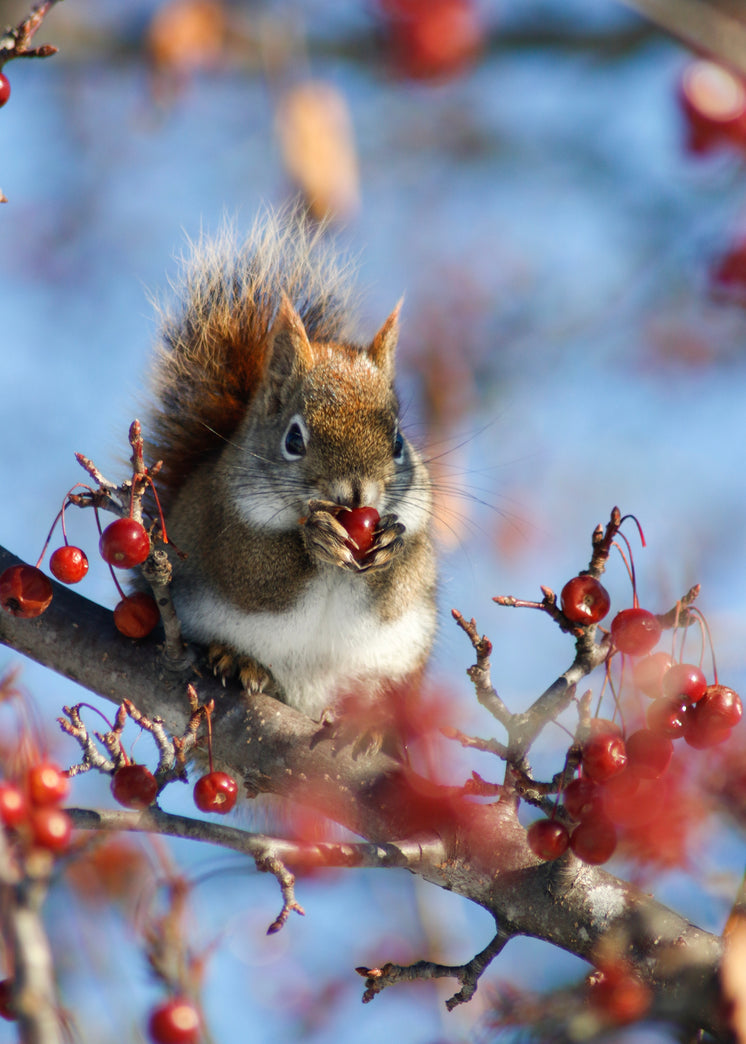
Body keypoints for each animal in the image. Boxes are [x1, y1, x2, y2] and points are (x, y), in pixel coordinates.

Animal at [144, 207, 437, 723]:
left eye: (398, 441)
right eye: (294, 439)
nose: (355, 493)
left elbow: (398, 583)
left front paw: (389, 544)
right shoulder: (223, 527)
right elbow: (259, 570)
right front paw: (315, 538)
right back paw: (236, 659)